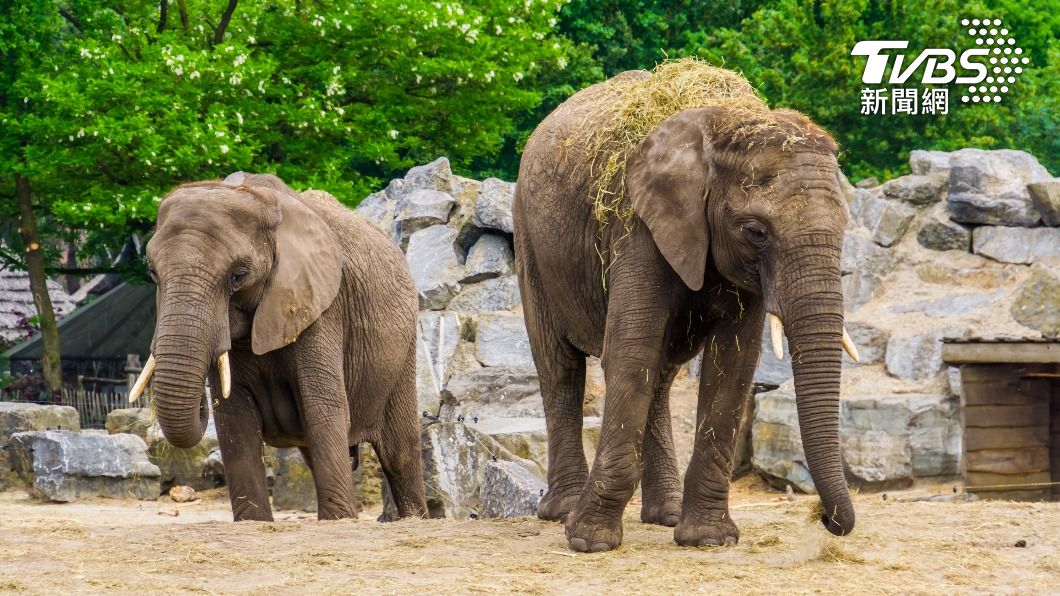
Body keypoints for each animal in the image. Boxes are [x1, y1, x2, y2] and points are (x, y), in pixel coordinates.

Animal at [129, 172, 427, 521]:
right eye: (152, 272)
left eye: (239, 275)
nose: (202, 405)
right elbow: (234, 418)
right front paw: (253, 522)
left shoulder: (320, 305)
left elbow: (323, 406)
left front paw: (338, 521)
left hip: (403, 351)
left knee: (400, 453)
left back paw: (415, 517)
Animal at [513, 70, 859, 552]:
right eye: (756, 231)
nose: (825, 519)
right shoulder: (638, 227)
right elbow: (630, 352)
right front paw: (589, 541)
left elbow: (733, 366)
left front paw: (708, 540)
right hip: (529, 237)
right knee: (559, 367)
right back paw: (562, 511)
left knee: (660, 374)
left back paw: (666, 515)